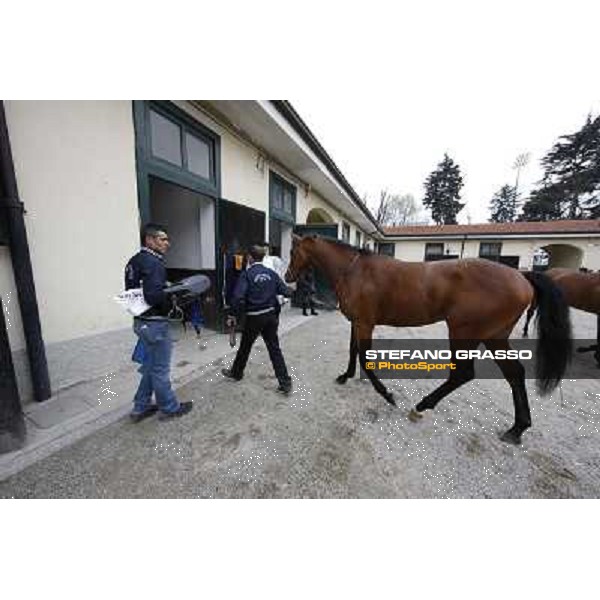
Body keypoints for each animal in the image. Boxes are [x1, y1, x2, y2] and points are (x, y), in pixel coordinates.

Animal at [284, 234, 576, 446]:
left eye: (293, 252)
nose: (287, 276)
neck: (356, 271)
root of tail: (521, 277)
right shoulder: (357, 323)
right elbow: (353, 351)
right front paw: (345, 376)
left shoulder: (365, 323)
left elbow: (365, 359)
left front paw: (387, 395)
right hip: (495, 337)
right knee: (514, 373)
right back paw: (516, 429)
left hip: (463, 333)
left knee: (463, 374)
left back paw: (422, 405)